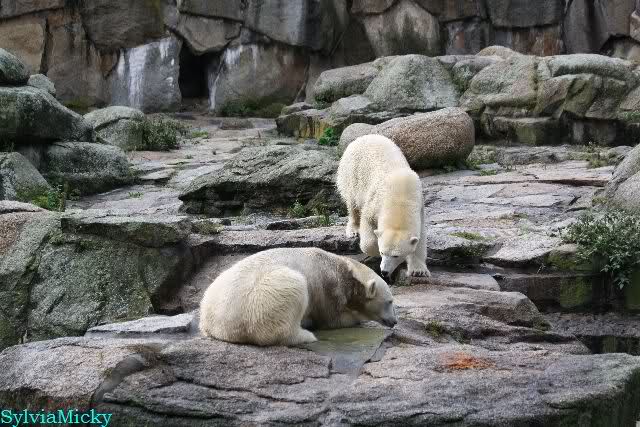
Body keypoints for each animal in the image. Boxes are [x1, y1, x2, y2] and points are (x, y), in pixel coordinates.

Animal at [199, 247, 397, 346]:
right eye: (389, 302)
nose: (394, 321)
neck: (342, 269)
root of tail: (213, 326)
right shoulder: (326, 287)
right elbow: (333, 319)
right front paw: (356, 318)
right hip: (259, 300)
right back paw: (306, 335)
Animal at [336, 134, 430, 278]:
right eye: (382, 252)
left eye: (396, 255)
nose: (384, 272)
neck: (400, 197)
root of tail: (362, 137)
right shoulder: (375, 203)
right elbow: (367, 224)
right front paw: (373, 248)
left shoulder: (419, 208)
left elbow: (420, 239)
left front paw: (418, 270)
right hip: (352, 172)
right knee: (352, 202)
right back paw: (353, 230)